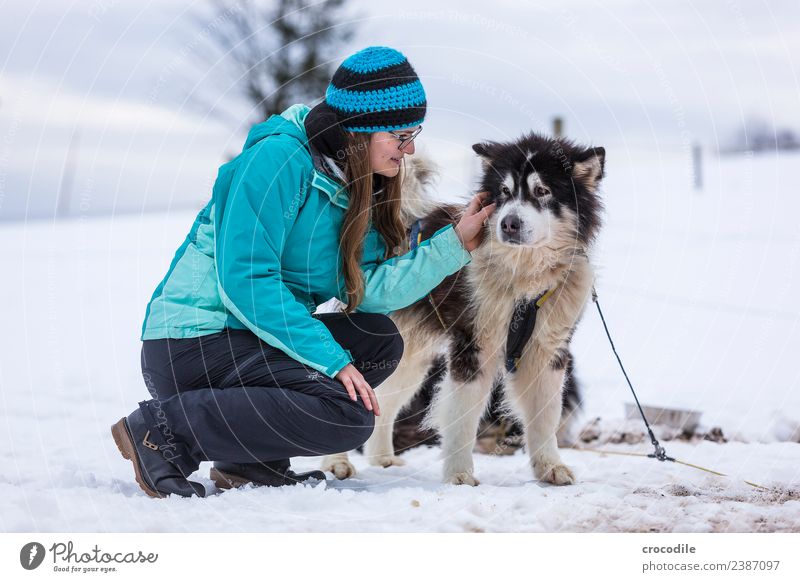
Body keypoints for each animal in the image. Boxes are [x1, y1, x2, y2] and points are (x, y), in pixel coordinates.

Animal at [322, 135, 604, 486]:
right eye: (504, 192)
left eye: (542, 191)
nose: (509, 223)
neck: (523, 283)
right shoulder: (474, 346)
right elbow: (463, 418)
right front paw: (459, 475)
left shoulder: (547, 351)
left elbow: (545, 416)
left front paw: (550, 467)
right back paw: (336, 463)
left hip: (410, 353)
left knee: (384, 401)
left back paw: (383, 459)